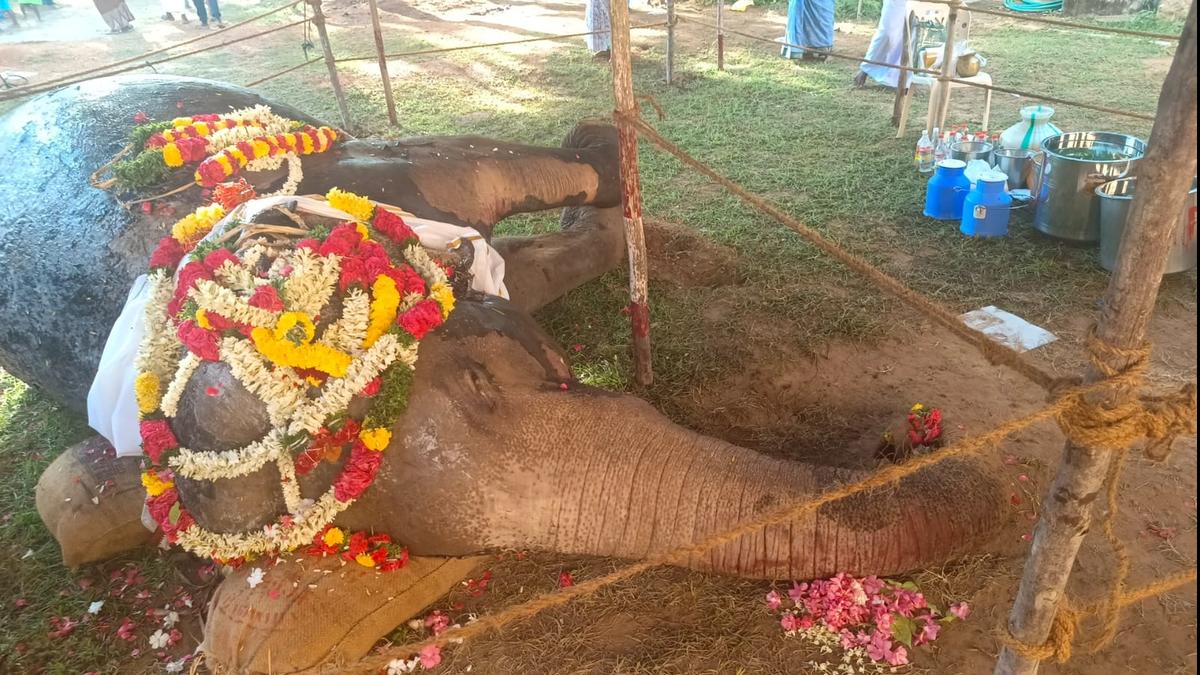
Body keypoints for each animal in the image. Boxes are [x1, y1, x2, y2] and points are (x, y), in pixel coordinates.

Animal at [0, 76, 1006, 672]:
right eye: (423, 539)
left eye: (488, 379)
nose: (911, 439)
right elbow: (73, 505)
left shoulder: (357, 182)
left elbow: (482, 174)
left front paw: (608, 164)